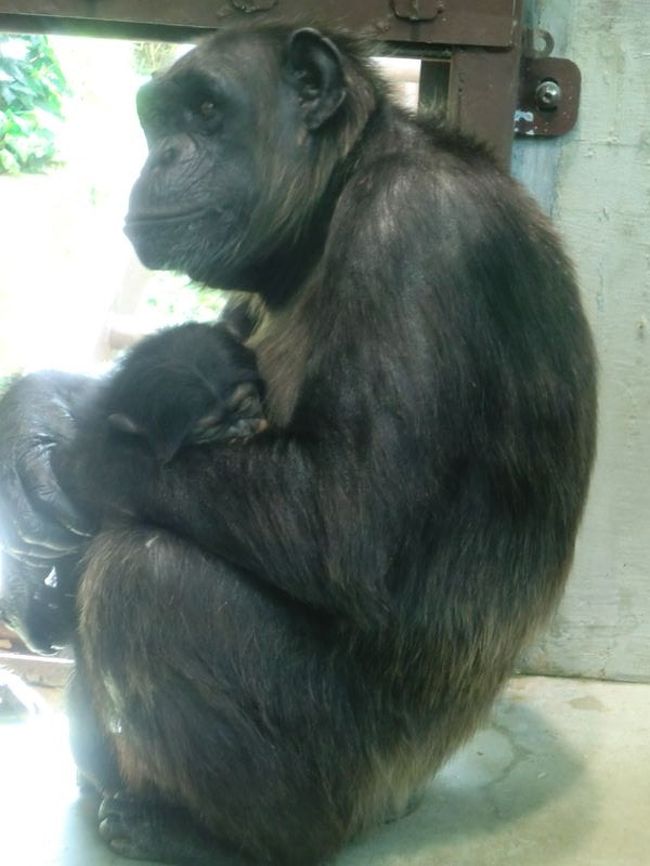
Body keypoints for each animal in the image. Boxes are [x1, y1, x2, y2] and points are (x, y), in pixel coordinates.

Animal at [0, 20, 596, 864]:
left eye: (207, 110)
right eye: (159, 119)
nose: (164, 154)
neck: (334, 199)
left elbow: (348, 513)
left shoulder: (418, 235)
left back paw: (196, 834)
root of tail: (403, 799)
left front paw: (76, 462)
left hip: (344, 784)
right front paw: (29, 429)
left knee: (143, 574)